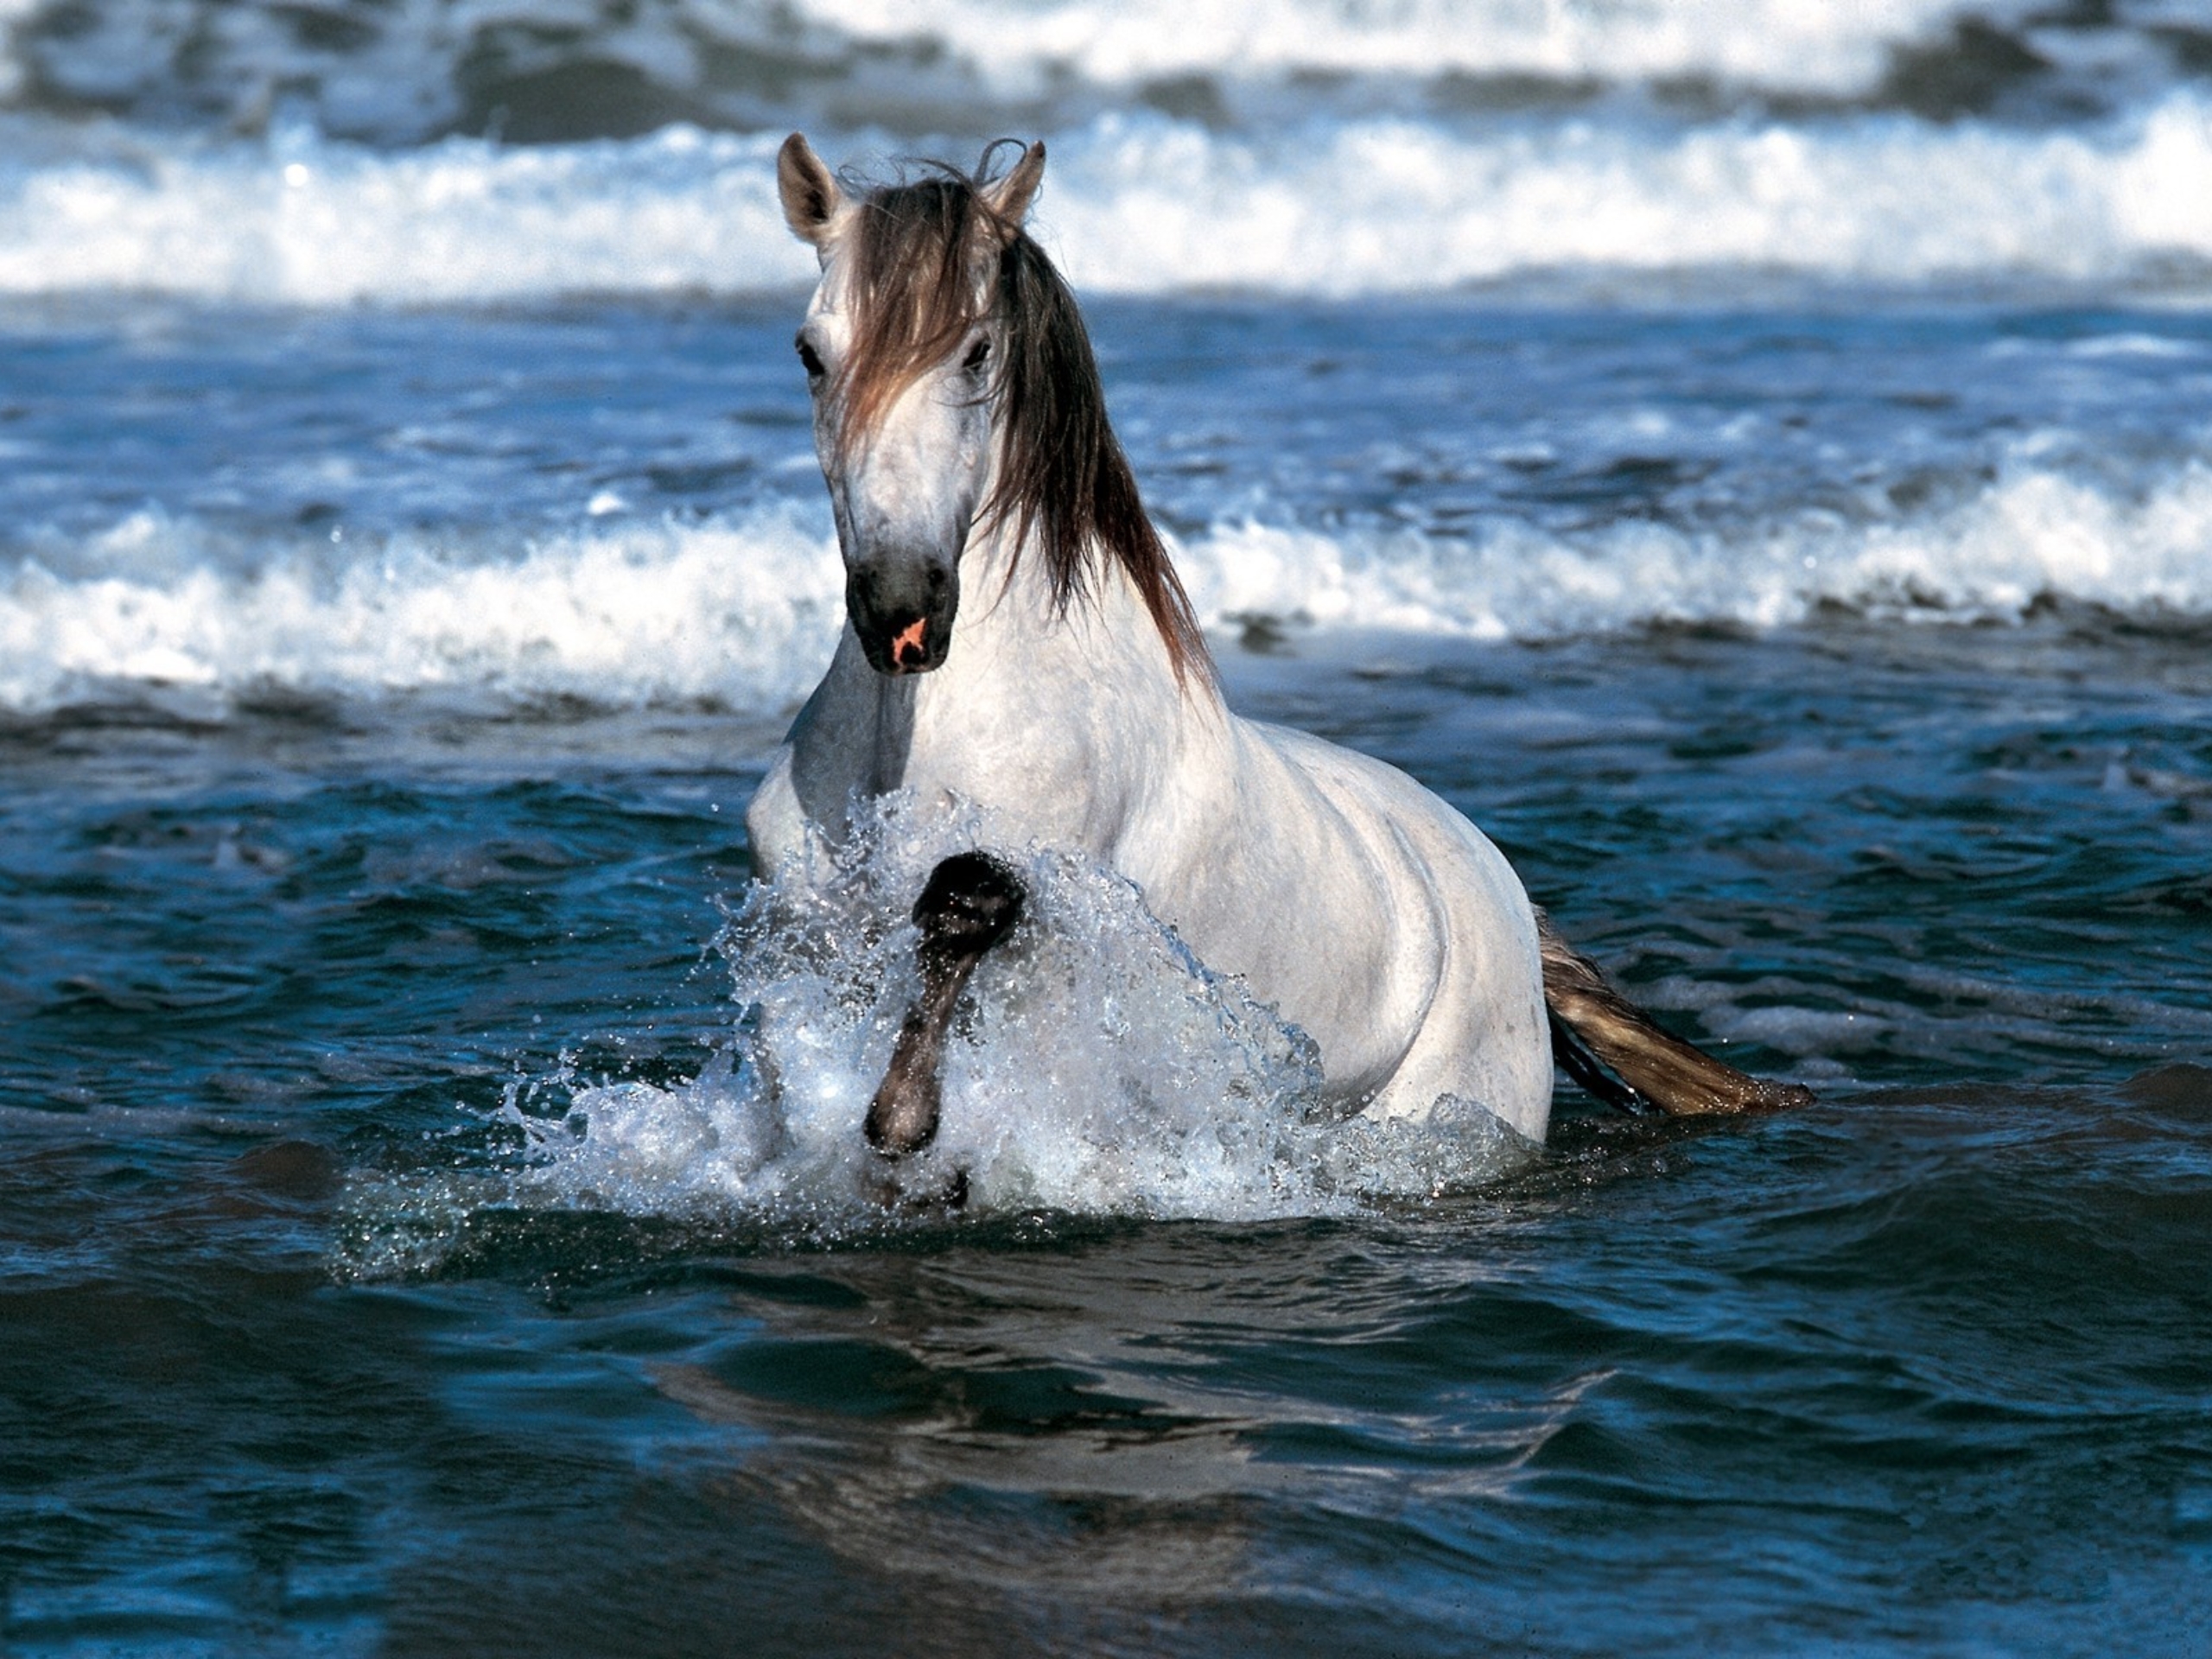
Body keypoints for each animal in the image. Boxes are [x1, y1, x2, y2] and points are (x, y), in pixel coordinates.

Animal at [752, 137, 1804, 1159]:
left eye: (974, 354)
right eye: (808, 353)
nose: (901, 608)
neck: (911, 739)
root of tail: (1505, 894)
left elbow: (967, 905)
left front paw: (904, 1123)